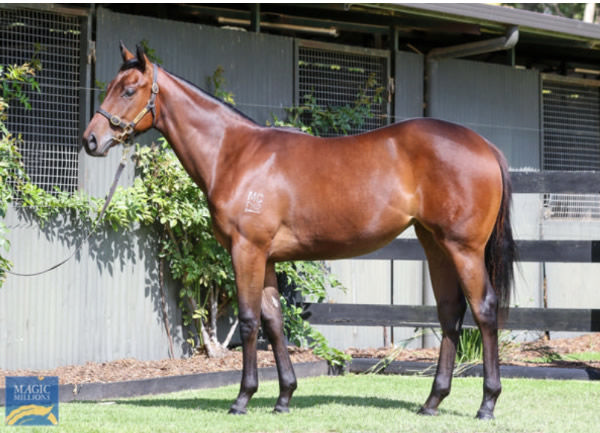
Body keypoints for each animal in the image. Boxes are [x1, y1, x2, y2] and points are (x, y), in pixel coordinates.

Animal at [83, 44, 516, 418]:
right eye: (111, 86)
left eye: (129, 89)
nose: (91, 140)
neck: (234, 154)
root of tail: (485, 146)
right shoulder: (267, 258)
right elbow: (274, 322)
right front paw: (284, 397)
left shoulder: (246, 250)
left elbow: (248, 320)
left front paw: (242, 398)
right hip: (435, 245)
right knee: (450, 313)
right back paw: (432, 402)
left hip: (463, 248)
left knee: (484, 310)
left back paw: (487, 403)